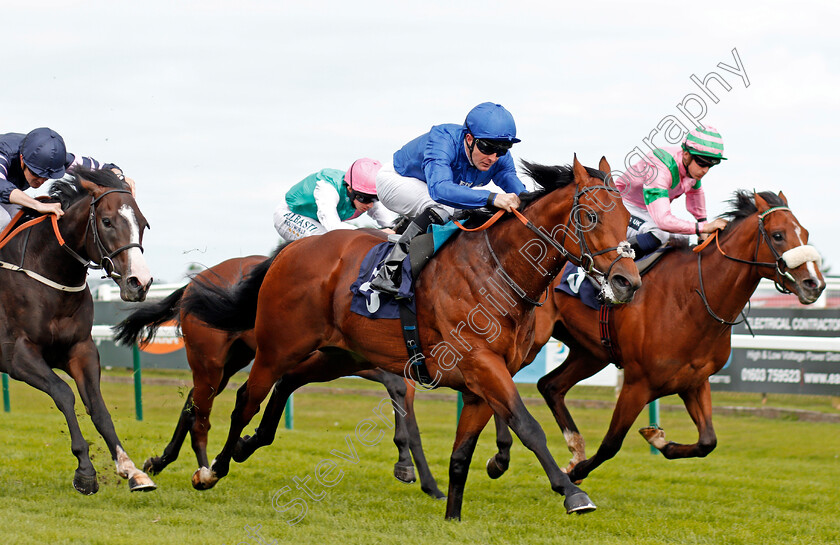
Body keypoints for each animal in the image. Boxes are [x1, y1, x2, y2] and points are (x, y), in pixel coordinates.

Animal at [0, 169, 156, 492]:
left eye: (144, 223)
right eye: (107, 221)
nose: (140, 282)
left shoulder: (80, 349)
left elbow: (97, 407)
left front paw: (131, 469)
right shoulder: (16, 355)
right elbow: (63, 393)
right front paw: (85, 470)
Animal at [115, 251, 450, 498]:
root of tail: (196, 282)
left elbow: (407, 409)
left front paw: (422, 478)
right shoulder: (353, 359)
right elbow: (399, 395)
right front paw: (409, 466)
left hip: (234, 358)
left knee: (192, 402)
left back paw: (164, 461)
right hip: (213, 358)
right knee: (200, 406)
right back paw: (199, 465)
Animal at [184, 156, 644, 520]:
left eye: (627, 220)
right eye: (590, 217)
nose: (628, 283)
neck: (499, 271)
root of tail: (293, 250)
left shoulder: (481, 382)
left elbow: (462, 453)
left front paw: (452, 514)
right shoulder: (482, 364)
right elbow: (528, 426)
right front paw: (572, 492)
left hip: (341, 354)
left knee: (287, 383)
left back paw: (249, 444)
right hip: (279, 345)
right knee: (245, 398)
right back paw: (211, 469)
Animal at [482, 189, 824, 482]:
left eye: (806, 233)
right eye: (778, 235)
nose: (815, 284)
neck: (691, 298)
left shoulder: (694, 381)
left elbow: (708, 441)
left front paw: (657, 438)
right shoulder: (638, 383)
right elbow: (611, 444)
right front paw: (576, 473)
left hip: (591, 352)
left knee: (549, 385)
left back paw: (571, 447)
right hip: (531, 342)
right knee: (504, 382)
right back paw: (503, 456)